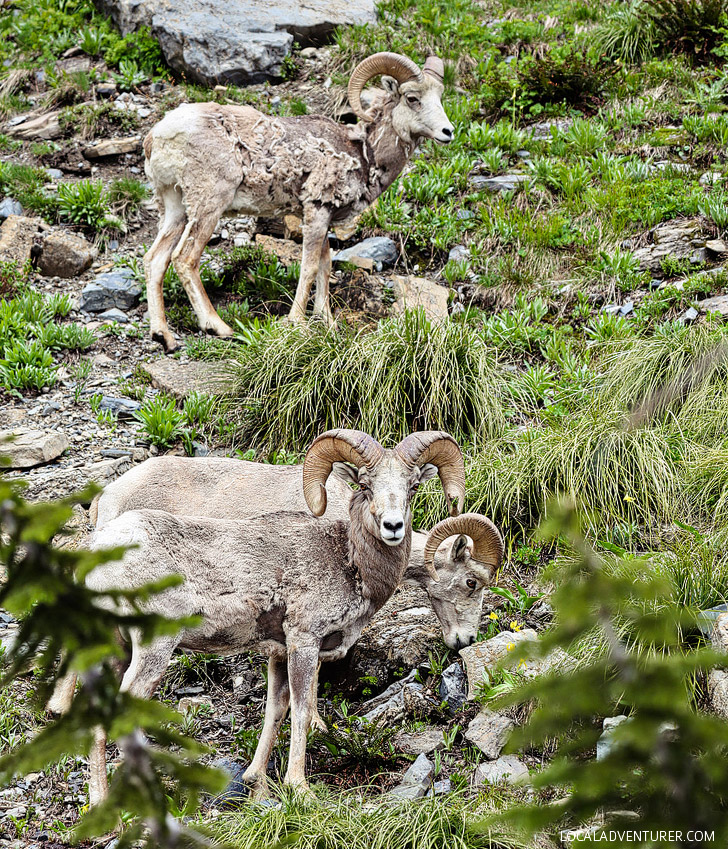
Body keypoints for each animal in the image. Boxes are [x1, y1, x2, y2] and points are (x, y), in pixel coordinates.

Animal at [79, 430, 466, 800]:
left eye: (412, 486)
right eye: (365, 485)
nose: (393, 526)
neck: (349, 561)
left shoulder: (278, 653)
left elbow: (276, 712)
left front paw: (258, 784)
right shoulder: (303, 644)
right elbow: (302, 710)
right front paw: (300, 788)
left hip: (116, 650)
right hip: (153, 651)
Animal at [142, 51, 452, 350]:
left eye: (439, 96)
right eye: (412, 98)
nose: (447, 132)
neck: (363, 154)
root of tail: (158, 136)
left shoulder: (325, 219)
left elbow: (326, 266)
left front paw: (327, 323)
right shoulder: (316, 212)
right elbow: (310, 267)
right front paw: (296, 324)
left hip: (176, 207)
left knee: (155, 259)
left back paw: (164, 337)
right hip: (208, 205)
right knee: (184, 259)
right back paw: (218, 327)